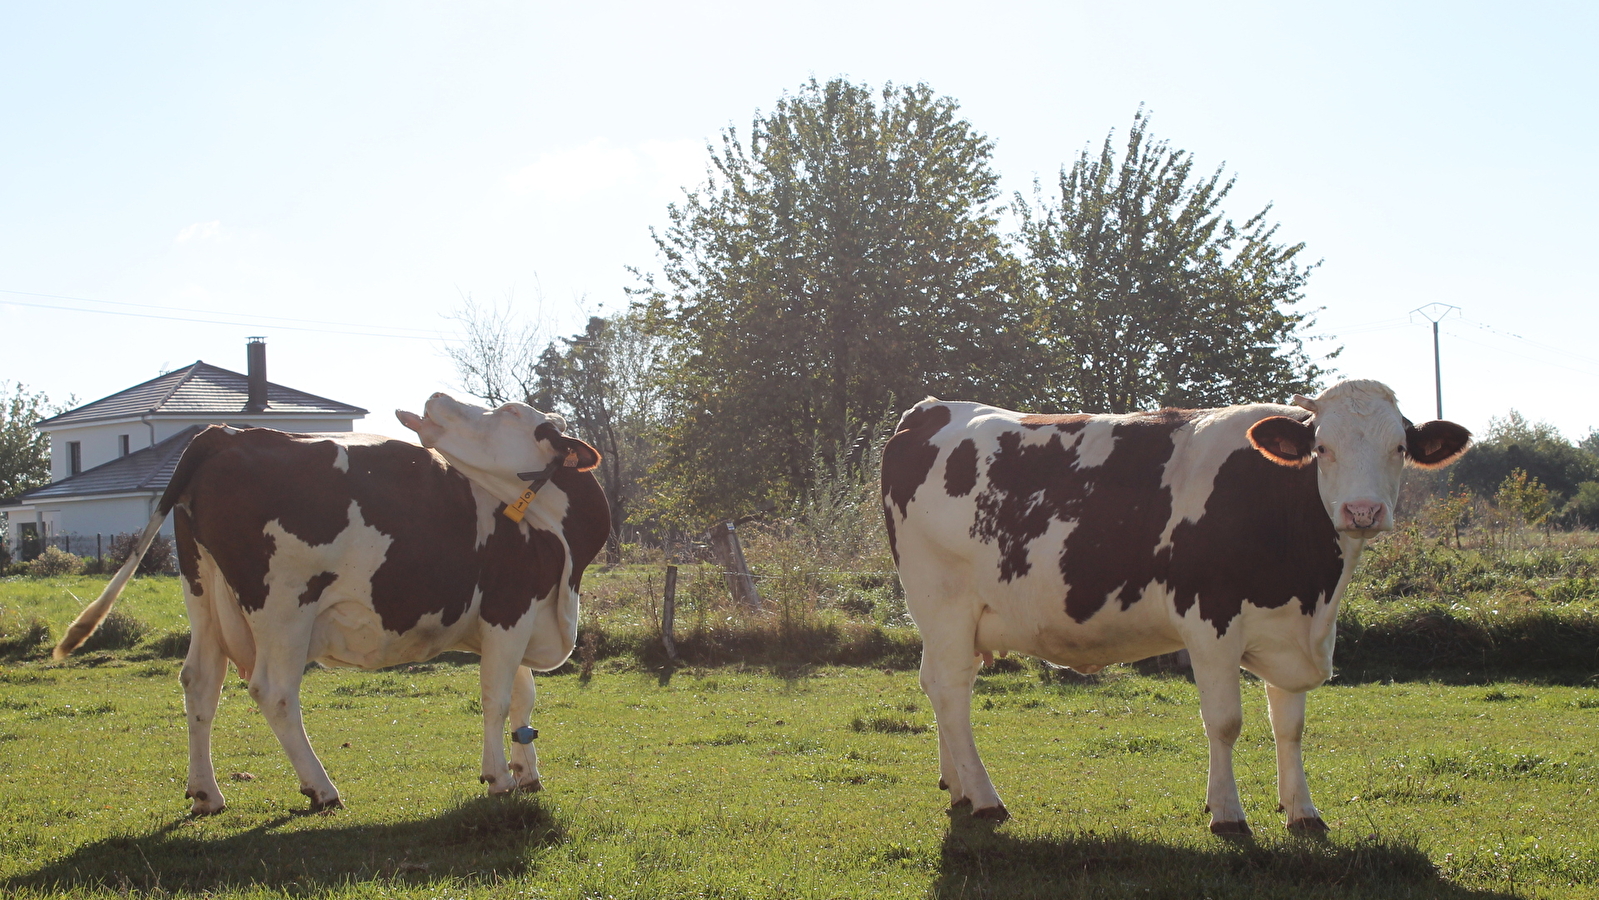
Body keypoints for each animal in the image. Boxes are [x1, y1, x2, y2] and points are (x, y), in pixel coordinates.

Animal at [53, 393, 608, 815]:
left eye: (510, 413)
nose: (436, 397)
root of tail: (225, 433)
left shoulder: (522, 613)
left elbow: (523, 696)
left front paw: (527, 770)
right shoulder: (508, 610)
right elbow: (497, 696)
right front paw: (499, 778)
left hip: (203, 595)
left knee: (200, 682)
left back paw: (207, 793)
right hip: (283, 607)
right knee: (274, 691)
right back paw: (322, 788)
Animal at [880, 379, 1470, 835]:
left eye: (1400, 448)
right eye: (1322, 449)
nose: (1362, 511)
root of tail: (930, 408)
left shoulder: (1290, 629)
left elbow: (1290, 725)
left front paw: (1302, 810)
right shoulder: (1210, 620)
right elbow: (1225, 721)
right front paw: (1228, 813)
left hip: (951, 619)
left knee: (939, 686)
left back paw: (957, 786)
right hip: (943, 602)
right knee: (950, 690)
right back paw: (985, 799)